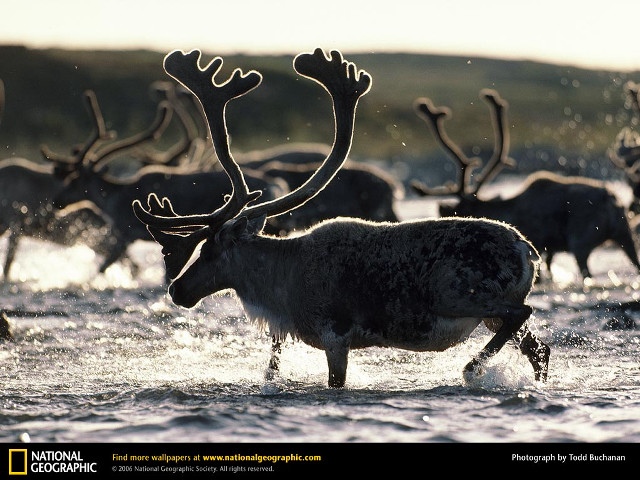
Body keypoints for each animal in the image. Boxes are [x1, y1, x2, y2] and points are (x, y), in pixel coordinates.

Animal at [132, 48, 549, 388]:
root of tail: (528, 250)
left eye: (210, 249)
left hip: (459, 295)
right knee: (540, 350)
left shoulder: (334, 334)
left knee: (522, 313)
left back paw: (472, 368)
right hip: (488, 310)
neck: (283, 279)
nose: (177, 290)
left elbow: (336, 382)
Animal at [410, 89, 640, 281]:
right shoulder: (550, 249)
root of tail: (612, 203)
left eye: (462, 210)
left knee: (586, 271)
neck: (508, 209)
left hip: (580, 242)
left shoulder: (538, 241)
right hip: (625, 235)